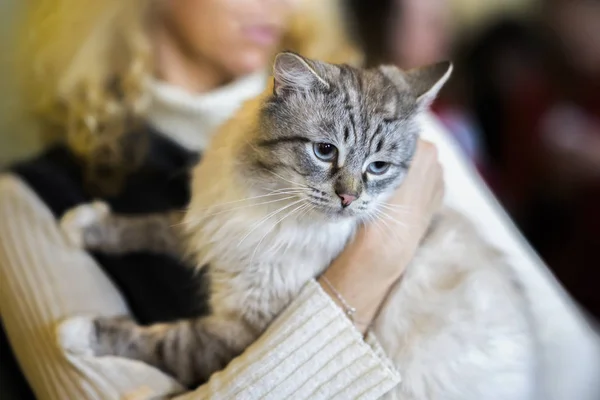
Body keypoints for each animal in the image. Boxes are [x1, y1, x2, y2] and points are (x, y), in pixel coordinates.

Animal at [61, 51, 536, 398]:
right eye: (325, 151)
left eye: (378, 167)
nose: (349, 198)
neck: (270, 206)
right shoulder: (210, 228)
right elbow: (150, 228)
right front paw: (81, 226)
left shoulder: (240, 331)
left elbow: (161, 341)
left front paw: (77, 334)